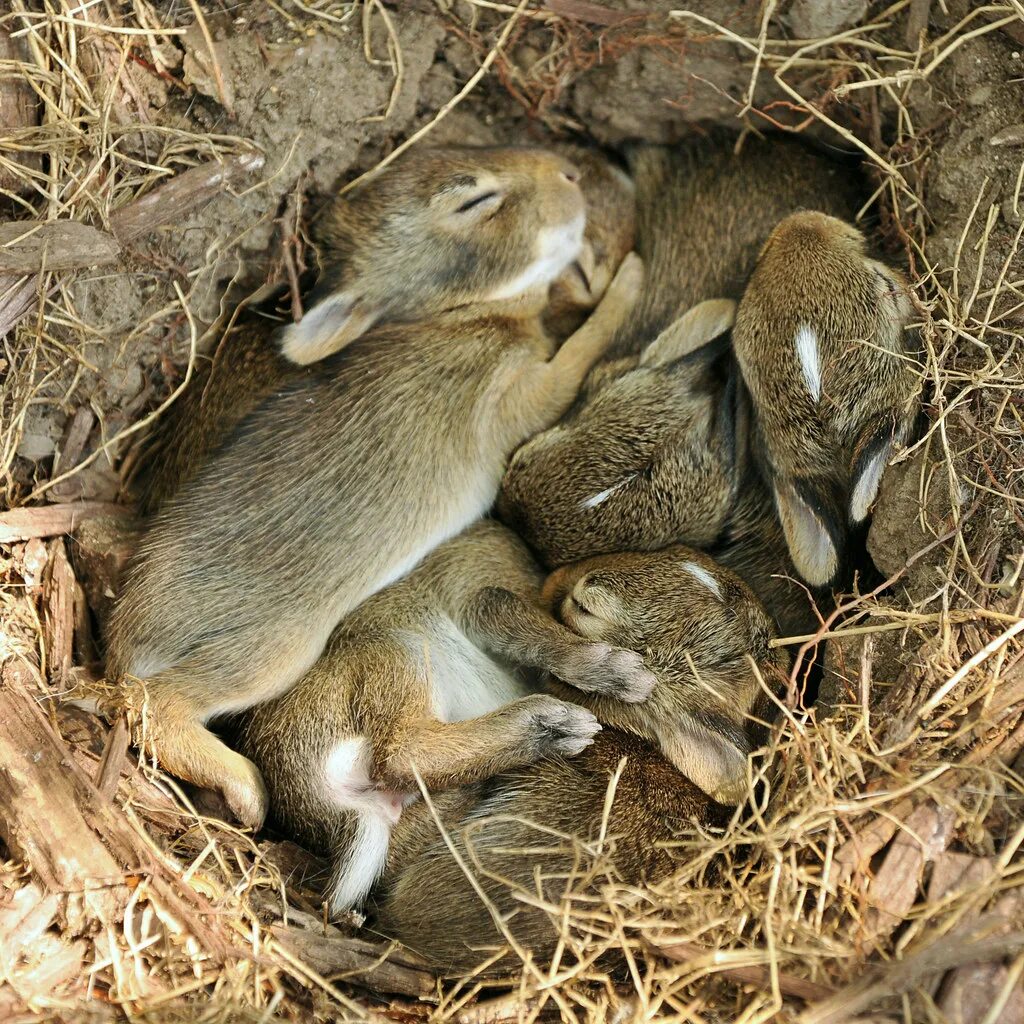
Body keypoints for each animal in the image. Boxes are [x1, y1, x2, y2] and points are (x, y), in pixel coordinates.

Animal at [108, 146, 643, 831]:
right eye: (475, 202)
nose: (568, 173)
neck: (462, 316)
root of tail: (124, 635)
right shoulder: (514, 394)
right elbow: (582, 348)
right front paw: (631, 278)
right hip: (274, 649)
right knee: (154, 701)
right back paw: (245, 787)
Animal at [233, 520, 655, 913]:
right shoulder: (486, 603)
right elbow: (535, 635)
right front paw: (619, 673)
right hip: (399, 651)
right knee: (401, 752)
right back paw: (553, 725)